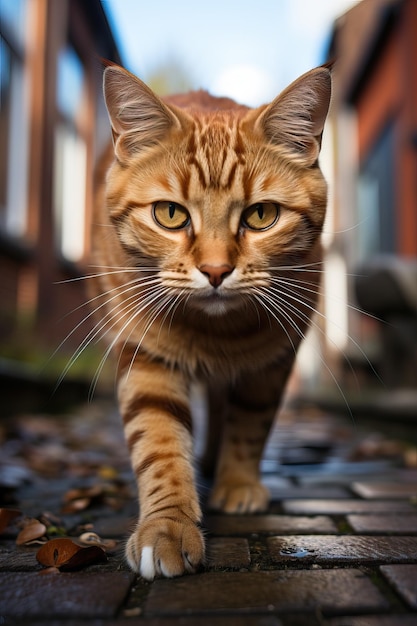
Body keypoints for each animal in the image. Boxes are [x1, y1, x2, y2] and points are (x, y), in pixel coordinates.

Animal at [92, 62, 332, 576]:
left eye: (261, 215)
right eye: (169, 214)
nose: (217, 270)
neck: (216, 331)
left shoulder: (273, 358)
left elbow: (250, 424)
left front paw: (237, 482)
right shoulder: (145, 353)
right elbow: (159, 439)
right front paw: (167, 526)